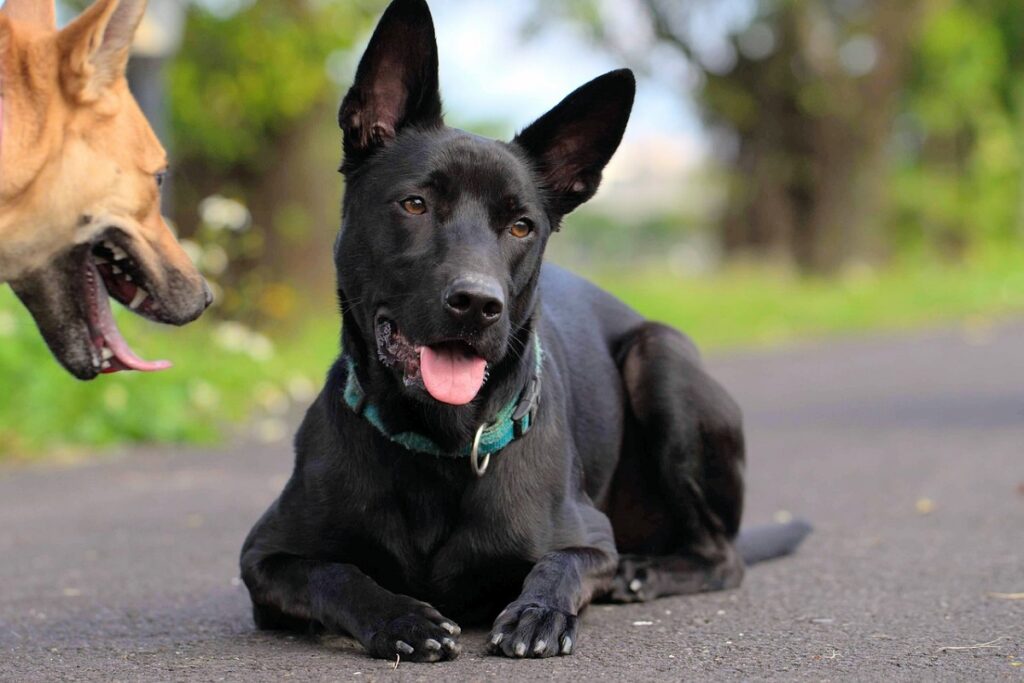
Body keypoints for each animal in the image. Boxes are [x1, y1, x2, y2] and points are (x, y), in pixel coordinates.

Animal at [239, 0, 806, 663]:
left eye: (520, 226)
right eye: (414, 204)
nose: (477, 304)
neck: (440, 442)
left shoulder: (590, 541)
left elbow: (559, 564)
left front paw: (538, 612)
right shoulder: (263, 560)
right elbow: (337, 573)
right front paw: (401, 617)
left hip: (660, 359)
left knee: (722, 557)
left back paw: (645, 571)